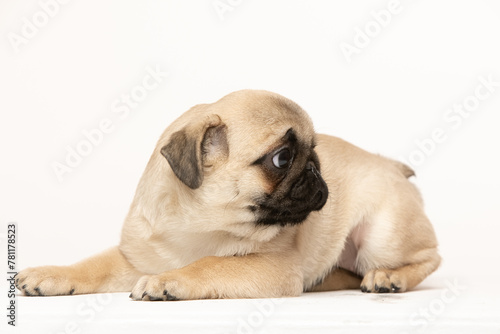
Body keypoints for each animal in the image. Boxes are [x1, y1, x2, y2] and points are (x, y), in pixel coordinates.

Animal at [15, 88, 440, 300]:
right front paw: (50, 274)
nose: (315, 168)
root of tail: (390, 166)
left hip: (382, 236)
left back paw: (388, 278)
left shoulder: (267, 265)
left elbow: (210, 265)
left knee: (428, 258)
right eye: (283, 158)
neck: (198, 225)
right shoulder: (135, 257)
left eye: (313, 153)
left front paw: (169, 282)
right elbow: (91, 265)